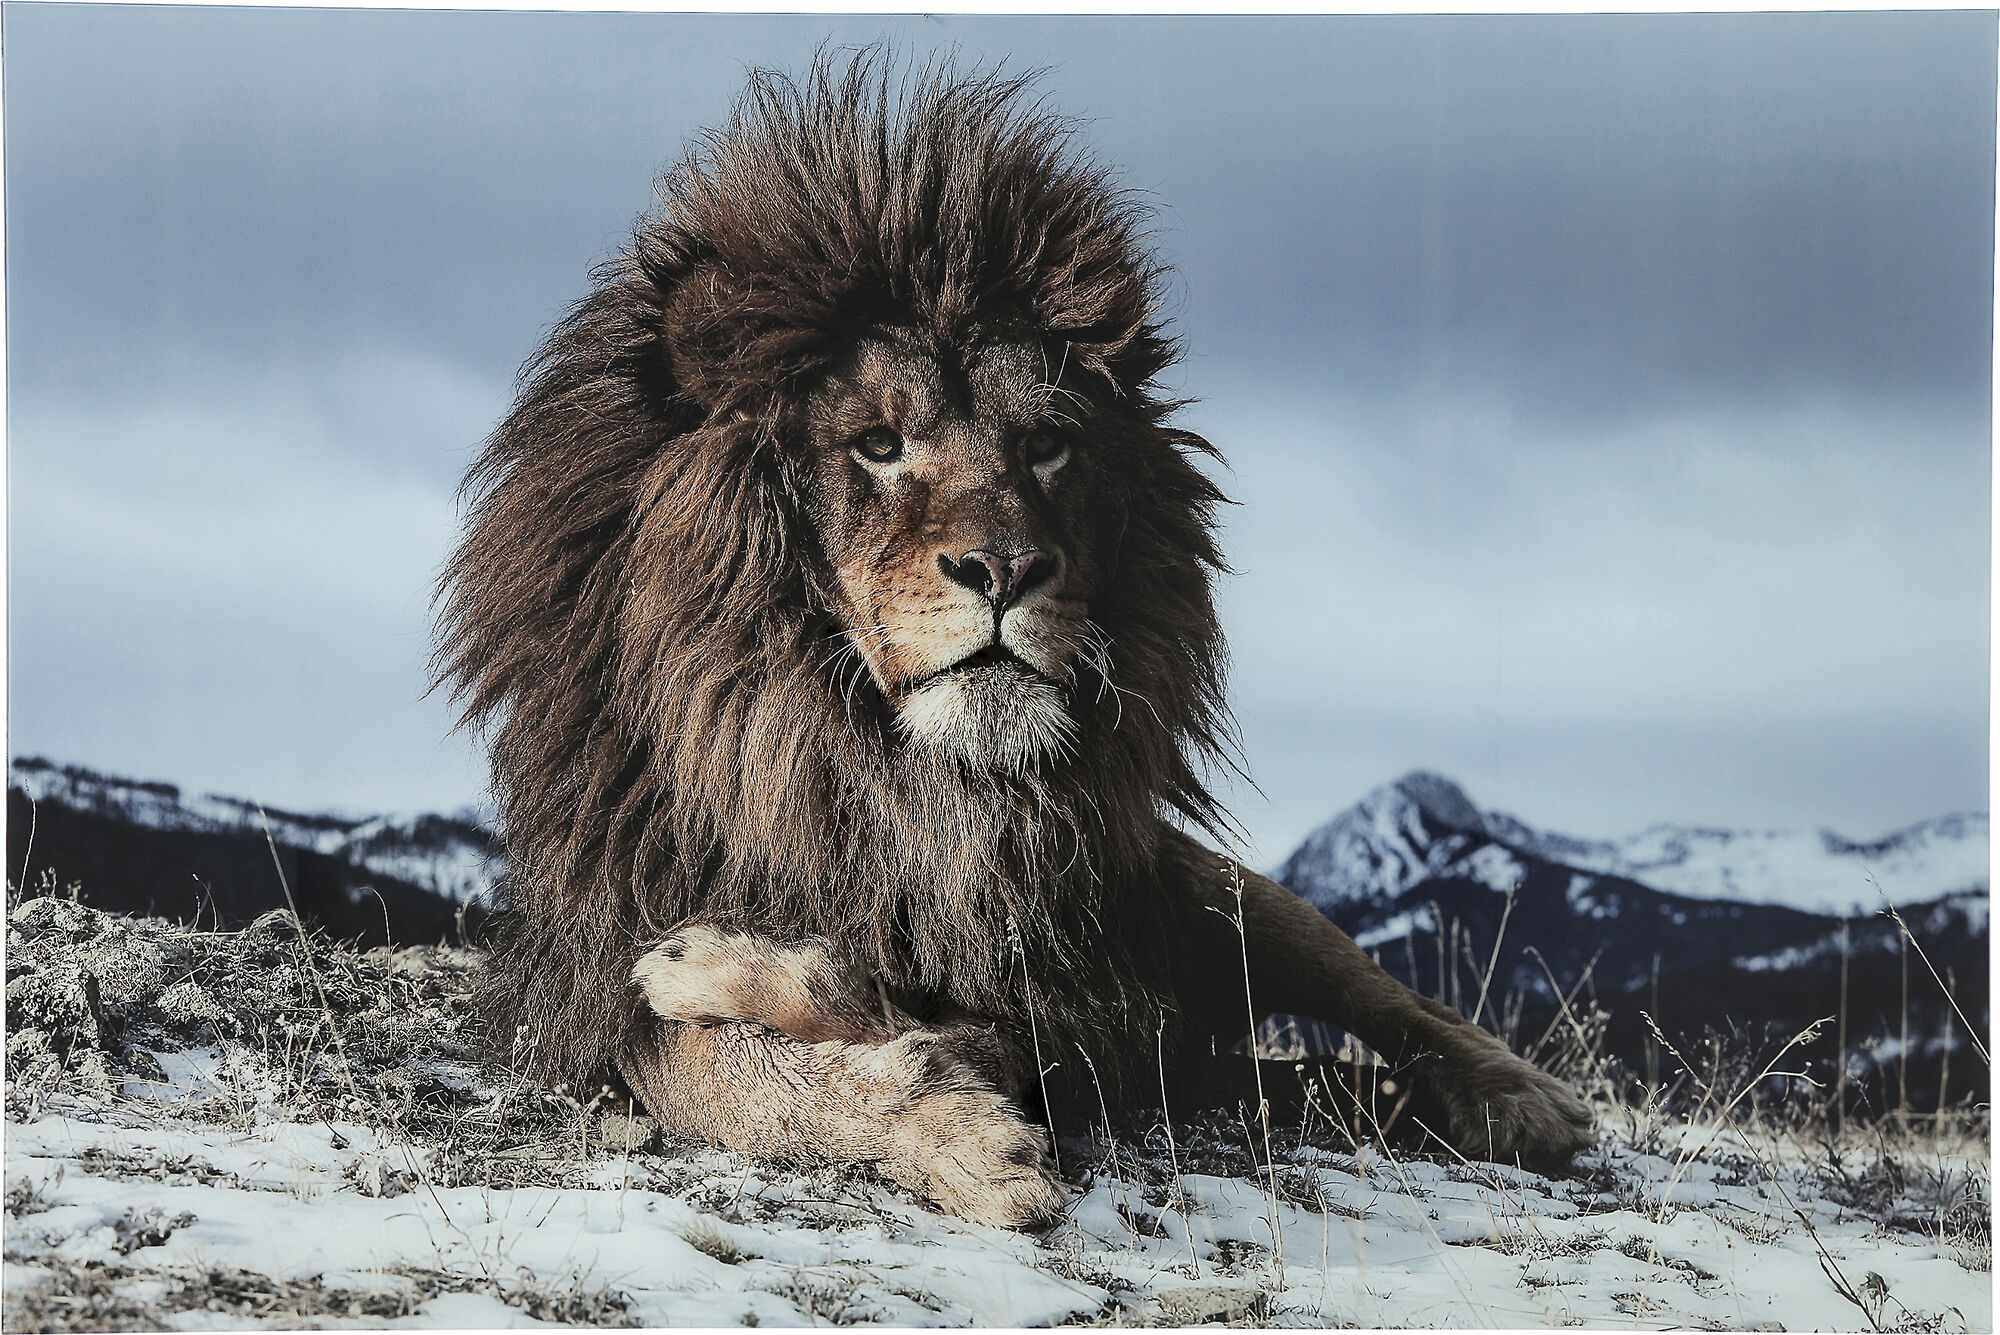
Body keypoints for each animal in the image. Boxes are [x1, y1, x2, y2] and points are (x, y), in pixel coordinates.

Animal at [434, 55, 1592, 1229]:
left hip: (1210, 892)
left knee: (1388, 997)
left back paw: (1525, 1098)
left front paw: (751, 985)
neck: (885, 782)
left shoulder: (1083, 996)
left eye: (1045, 446)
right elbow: (735, 1072)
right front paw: (950, 1128)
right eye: (877, 443)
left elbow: (910, 1014)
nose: (1005, 569)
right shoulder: (596, 981)